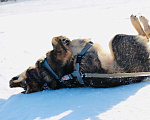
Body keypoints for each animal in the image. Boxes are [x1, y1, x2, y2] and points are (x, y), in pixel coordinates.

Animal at [9, 15, 150, 93]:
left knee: (146, 35)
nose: (11, 81)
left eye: (21, 84)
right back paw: (137, 19)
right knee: (145, 35)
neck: (40, 76)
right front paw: (63, 39)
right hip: (117, 39)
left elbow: (55, 40)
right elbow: (54, 39)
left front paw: (64, 40)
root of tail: (146, 71)